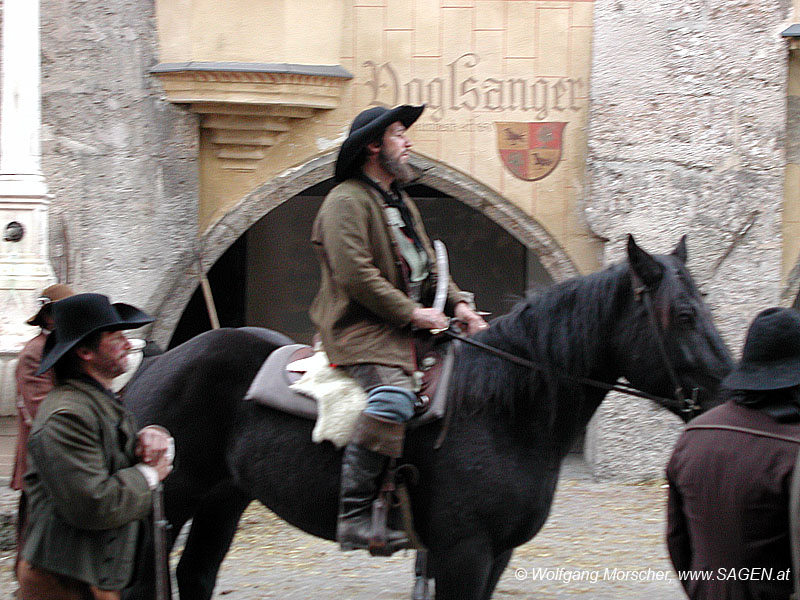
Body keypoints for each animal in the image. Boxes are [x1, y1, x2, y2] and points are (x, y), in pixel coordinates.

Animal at [123, 237, 732, 596]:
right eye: (683, 314)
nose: (728, 391)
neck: (502, 408)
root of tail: (156, 361)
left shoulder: (495, 554)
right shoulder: (463, 552)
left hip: (223, 499)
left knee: (196, 573)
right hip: (173, 499)